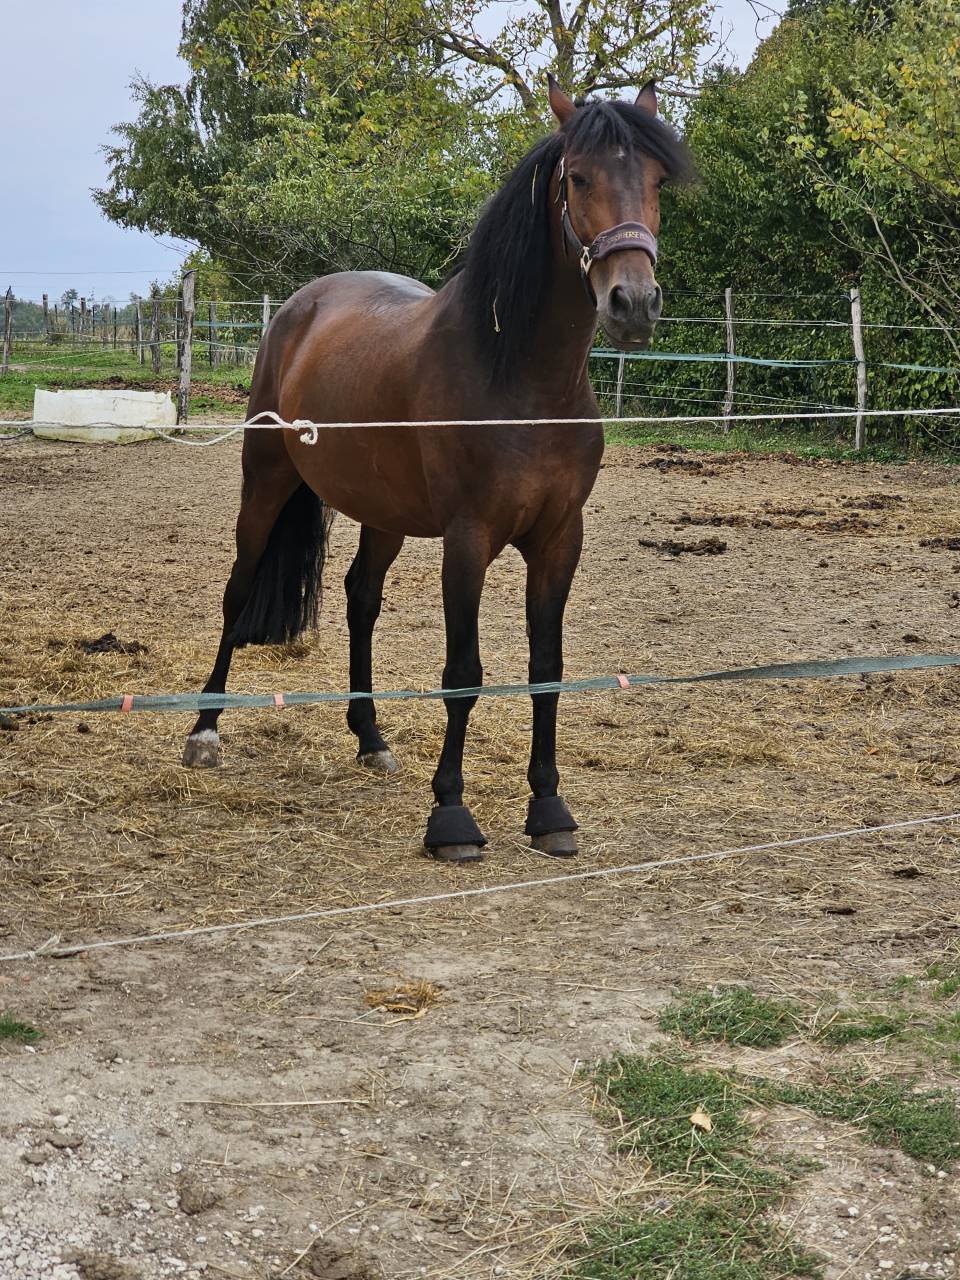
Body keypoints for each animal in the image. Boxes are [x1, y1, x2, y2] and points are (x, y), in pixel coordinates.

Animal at [182, 77, 692, 864]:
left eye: (657, 181)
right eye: (578, 179)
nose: (633, 304)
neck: (521, 381)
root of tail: (298, 307)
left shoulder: (559, 539)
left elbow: (546, 669)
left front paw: (549, 808)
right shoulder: (468, 538)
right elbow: (464, 674)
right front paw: (451, 815)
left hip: (382, 513)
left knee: (361, 599)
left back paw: (370, 738)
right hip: (265, 482)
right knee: (238, 593)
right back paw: (205, 732)